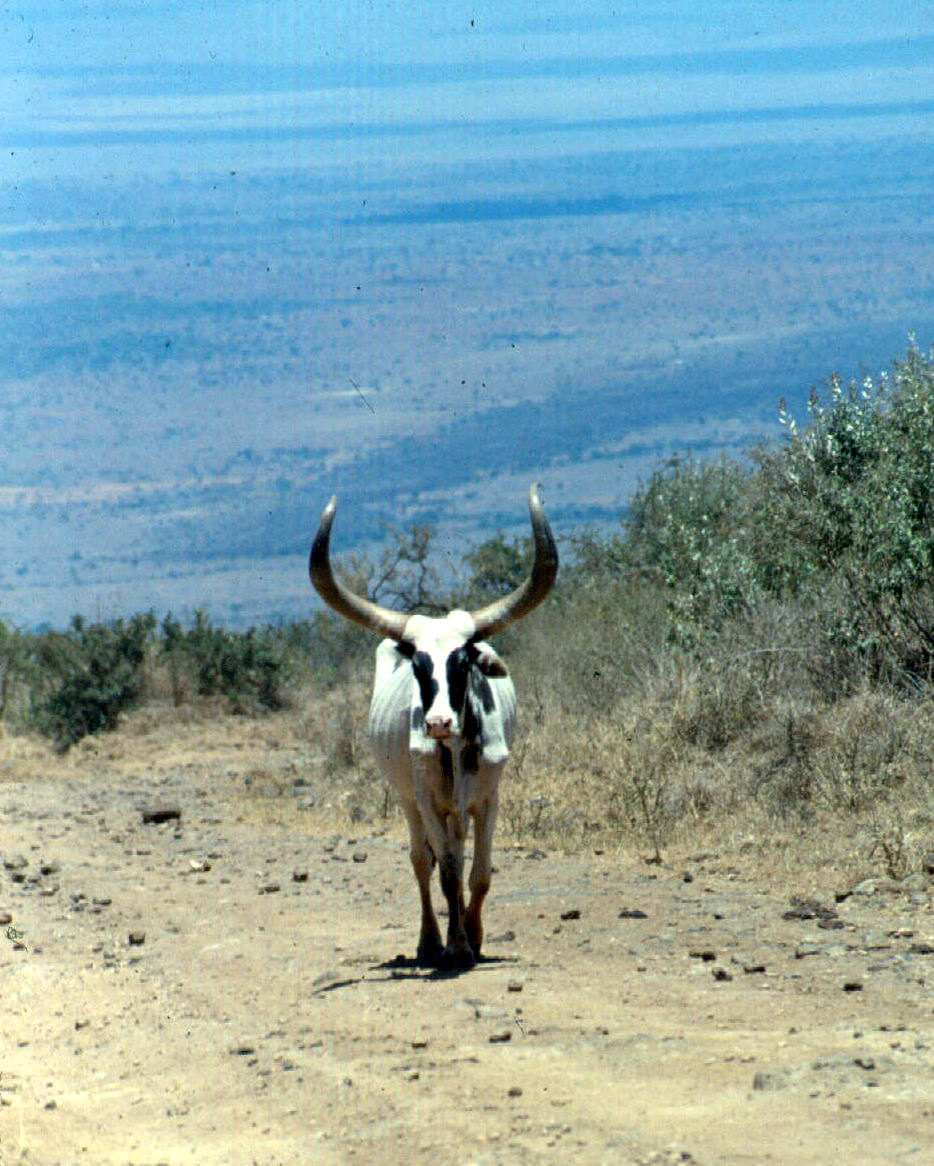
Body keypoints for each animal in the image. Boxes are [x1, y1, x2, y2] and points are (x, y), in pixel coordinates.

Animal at [309, 485, 558, 970]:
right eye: (419, 666)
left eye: (462, 662)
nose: (439, 722)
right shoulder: (425, 799)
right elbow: (445, 870)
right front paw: (455, 946)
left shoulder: (489, 797)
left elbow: (478, 874)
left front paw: (474, 938)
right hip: (411, 800)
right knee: (424, 863)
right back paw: (429, 941)